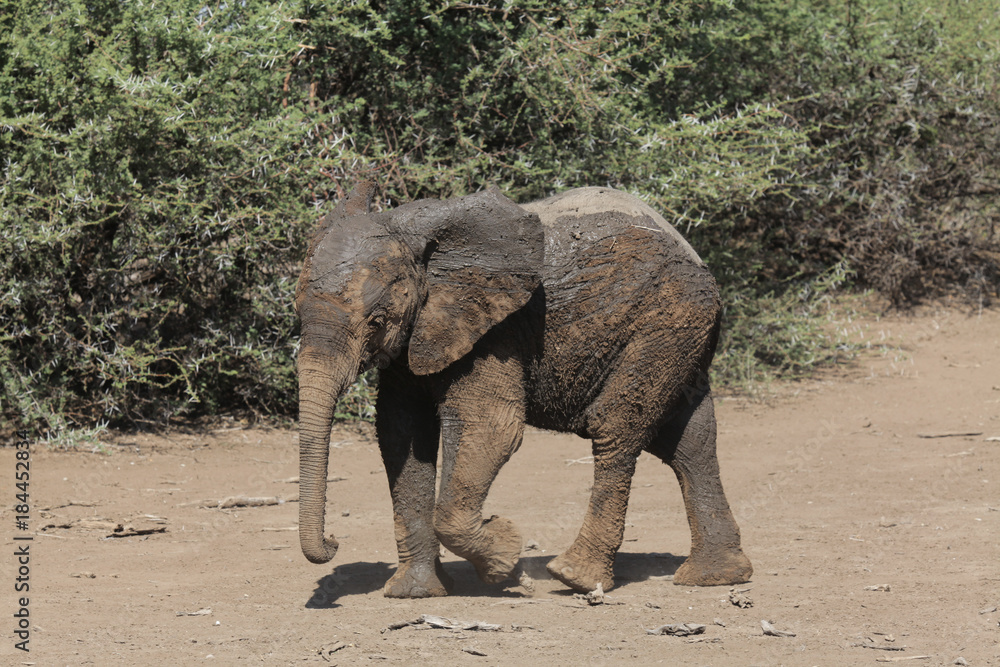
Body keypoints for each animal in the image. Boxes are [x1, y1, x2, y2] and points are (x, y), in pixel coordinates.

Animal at [295, 179, 752, 597]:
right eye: (296, 313)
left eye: (376, 321)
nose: (334, 541)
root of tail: (685, 243)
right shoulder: (421, 333)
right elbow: (401, 433)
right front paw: (416, 592)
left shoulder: (496, 332)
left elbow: (490, 428)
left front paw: (507, 563)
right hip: (681, 331)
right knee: (690, 441)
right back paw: (713, 577)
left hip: (666, 318)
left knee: (616, 427)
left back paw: (574, 577)